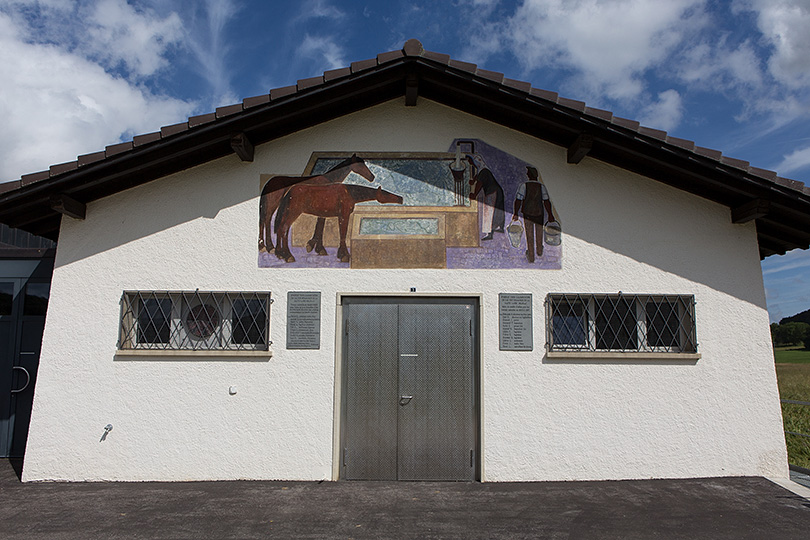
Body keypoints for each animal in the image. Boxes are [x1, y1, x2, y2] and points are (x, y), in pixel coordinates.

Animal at [274, 185, 404, 262]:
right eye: (386, 194)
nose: (401, 198)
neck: (350, 193)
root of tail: (289, 192)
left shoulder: (325, 214)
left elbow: (321, 230)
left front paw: (319, 248)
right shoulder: (343, 215)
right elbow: (343, 233)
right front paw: (344, 255)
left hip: (287, 212)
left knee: (280, 229)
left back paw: (280, 254)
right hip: (293, 212)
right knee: (284, 228)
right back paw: (288, 256)